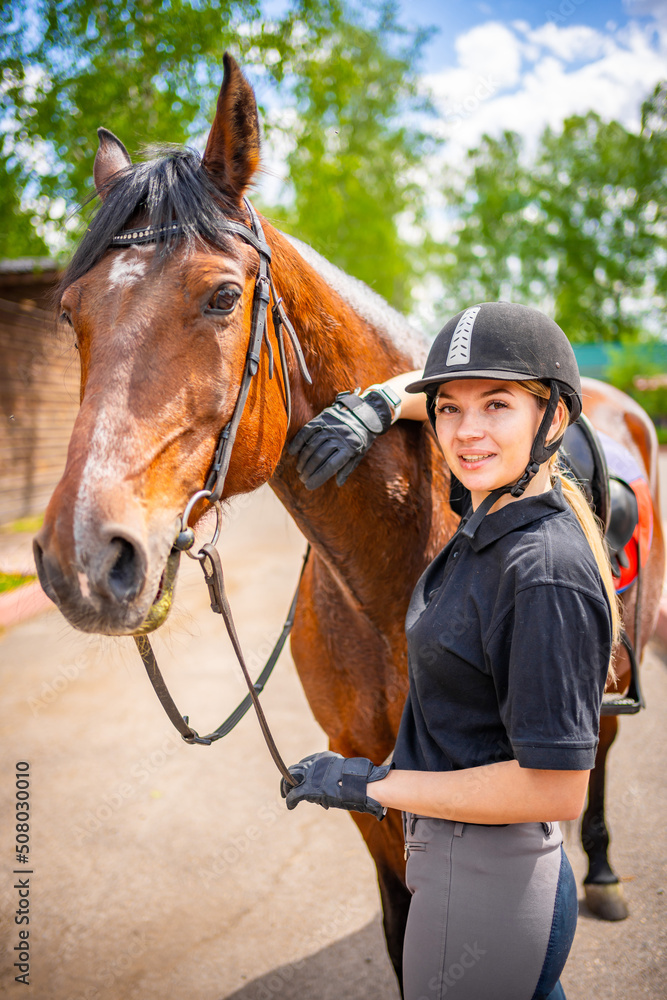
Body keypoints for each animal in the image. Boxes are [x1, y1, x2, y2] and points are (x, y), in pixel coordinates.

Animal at [33, 54, 664, 988]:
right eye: (71, 313)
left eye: (223, 297)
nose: (80, 557)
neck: (393, 577)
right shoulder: (367, 783)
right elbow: (404, 931)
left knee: (603, 757)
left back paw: (605, 871)